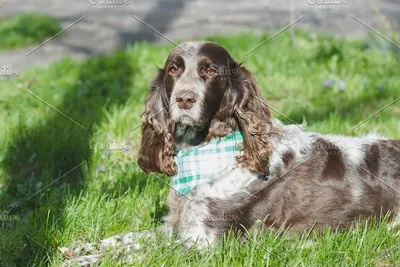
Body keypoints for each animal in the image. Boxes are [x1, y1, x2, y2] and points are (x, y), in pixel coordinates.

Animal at [61, 40, 398, 266]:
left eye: (210, 71)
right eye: (174, 69)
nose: (184, 99)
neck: (208, 153)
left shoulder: (206, 245)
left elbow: (139, 254)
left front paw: (83, 259)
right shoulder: (179, 228)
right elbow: (127, 239)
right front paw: (81, 248)